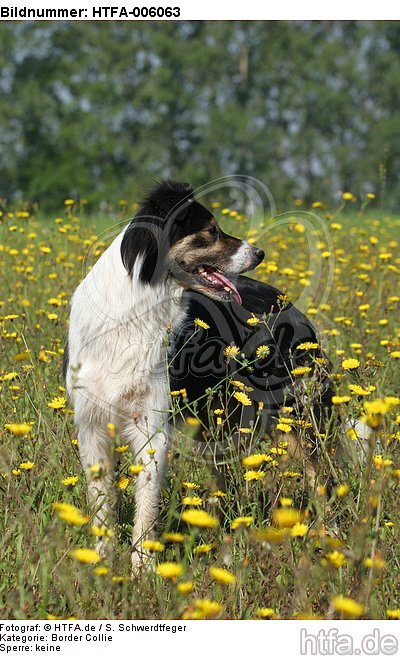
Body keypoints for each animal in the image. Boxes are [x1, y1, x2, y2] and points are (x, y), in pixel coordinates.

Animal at [63, 179, 368, 564]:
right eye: (210, 231)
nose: (260, 253)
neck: (136, 307)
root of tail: (288, 303)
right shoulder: (91, 428)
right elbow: (102, 507)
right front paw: (101, 567)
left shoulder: (151, 426)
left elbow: (145, 509)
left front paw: (142, 570)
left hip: (295, 421)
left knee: (321, 481)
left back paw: (332, 542)